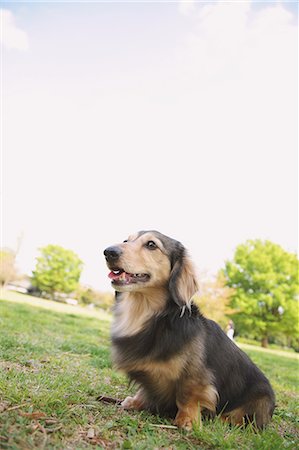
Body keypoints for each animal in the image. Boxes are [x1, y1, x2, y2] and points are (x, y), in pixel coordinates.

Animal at [103, 230, 276, 430]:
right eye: (126, 240)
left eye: (151, 245)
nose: (108, 252)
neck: (150, 315)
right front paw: (136, 401)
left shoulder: (195, 377)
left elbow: (187, 397)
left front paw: (186, 420)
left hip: (257, 401)